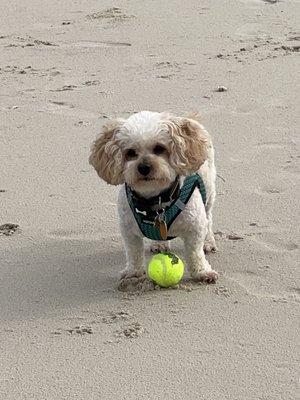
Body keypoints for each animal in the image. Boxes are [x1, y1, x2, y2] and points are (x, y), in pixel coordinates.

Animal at [89, 111, 218, 282]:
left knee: (209, 217)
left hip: (209, 192)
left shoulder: (195, 227)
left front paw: (202, 272)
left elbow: (195, 252)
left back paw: (208, 241)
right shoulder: (128, 230)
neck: (155, 200)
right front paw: (133, 272)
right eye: (130, 152)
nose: (144, 167)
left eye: (159, 148)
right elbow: (134, 252)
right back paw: (159, 244)